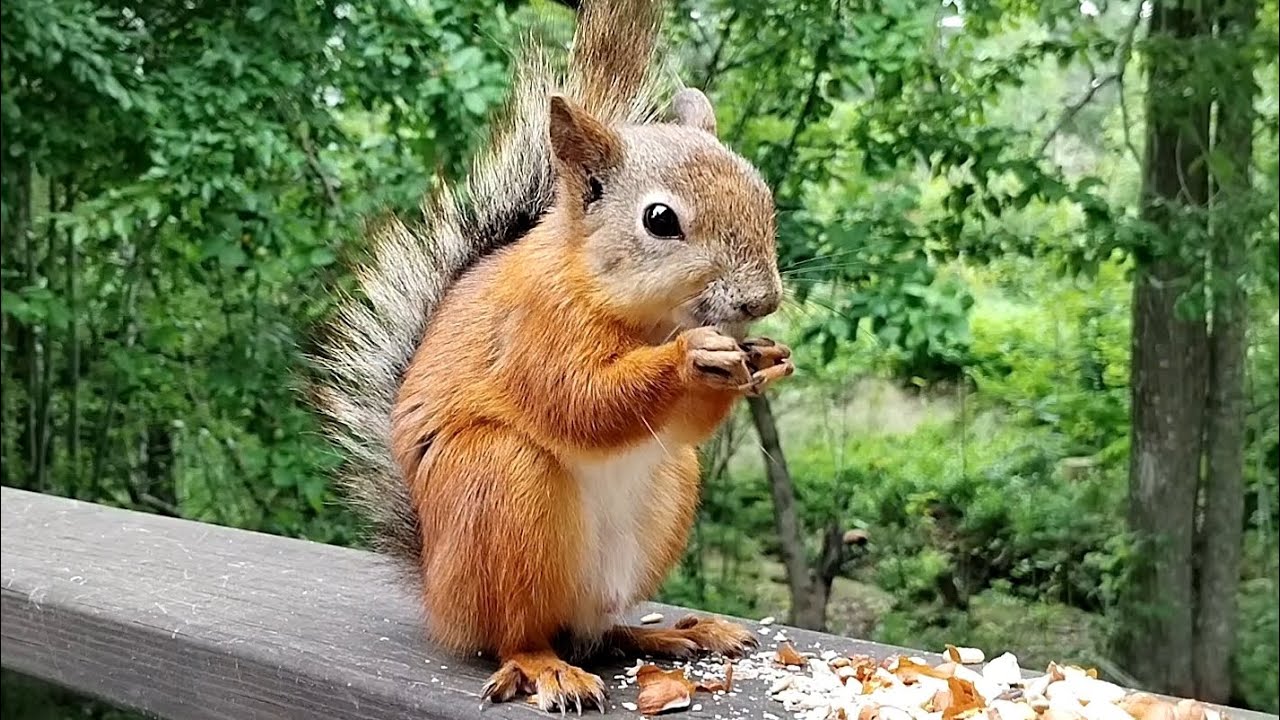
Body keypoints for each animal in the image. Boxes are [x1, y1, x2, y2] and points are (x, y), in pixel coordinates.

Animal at [311, 0, 793, 711]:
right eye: (660, 220)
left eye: (762, 195)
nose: (764, 300)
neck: (643, 313)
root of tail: (438, 594)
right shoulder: (534, 330)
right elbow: (581, 400)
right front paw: (690, 356)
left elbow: (678, 424)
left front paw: (765, 360)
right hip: (498, 486)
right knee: (519, 633)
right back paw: (547, 666)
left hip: (667, 492)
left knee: (600, 630)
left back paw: (670, 635)